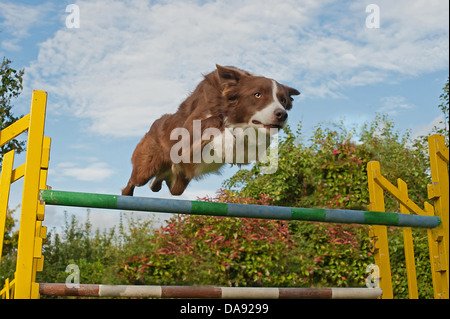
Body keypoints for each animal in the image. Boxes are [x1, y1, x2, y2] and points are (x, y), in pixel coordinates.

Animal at [121, 65, 300, 196]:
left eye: (283, 100)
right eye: (257, 94)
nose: (282, 115)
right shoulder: (185, 138)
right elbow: (214, 121)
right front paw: (225, 139)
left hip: (178, 184)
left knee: (163, 184)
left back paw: (155, 185)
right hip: (146, 168)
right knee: (134, 180)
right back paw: (127, 194)